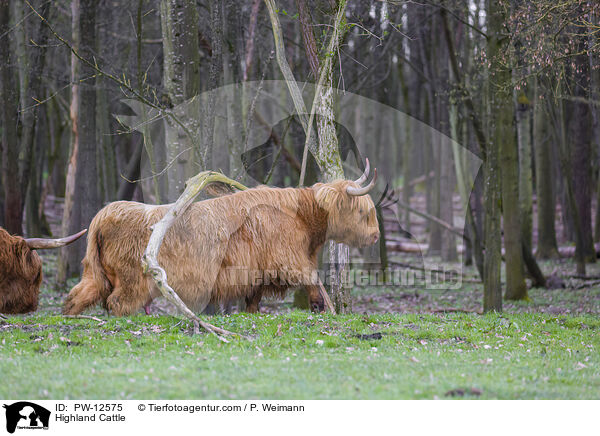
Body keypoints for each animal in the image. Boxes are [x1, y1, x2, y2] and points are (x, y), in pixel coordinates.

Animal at [63, 165, 378, 316]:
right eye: (364, 212)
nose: (376, 236)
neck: (301, 216)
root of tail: (104, 214)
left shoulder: (256, 273)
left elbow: (253, 301)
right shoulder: (289, 259)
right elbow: (313, 278)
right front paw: (322, 308)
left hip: (96, 274)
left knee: (77, 296)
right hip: (132, 281)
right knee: (117, 303)